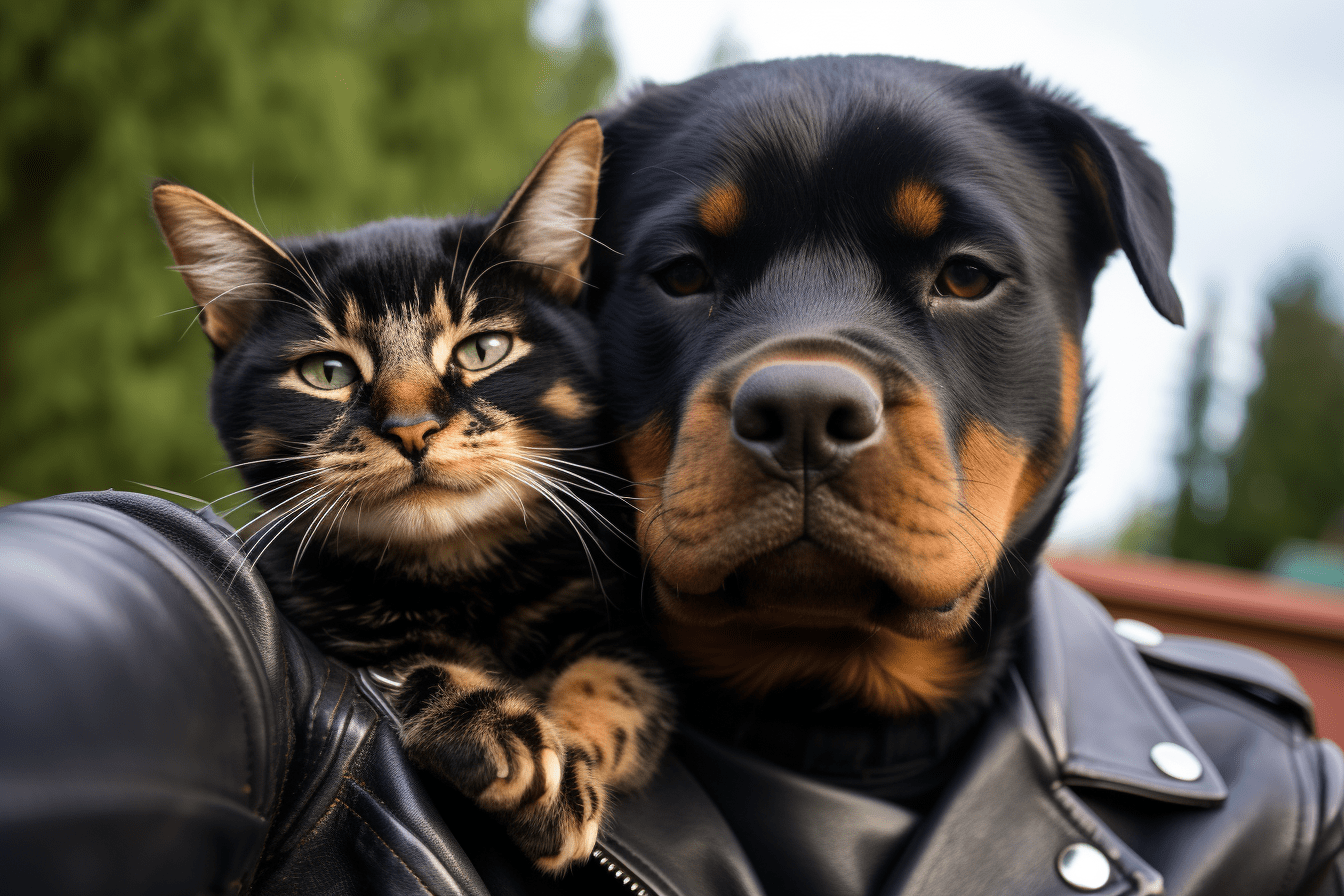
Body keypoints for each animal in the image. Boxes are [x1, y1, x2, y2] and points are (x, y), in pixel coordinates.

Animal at [149, 115, 672, 870]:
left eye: (484, 350)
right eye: (328, 371)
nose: (412, 427)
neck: (456, 575)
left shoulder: (617, 619)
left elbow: (618, 681)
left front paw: (567, 755)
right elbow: (402, 665)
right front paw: (497, 729)